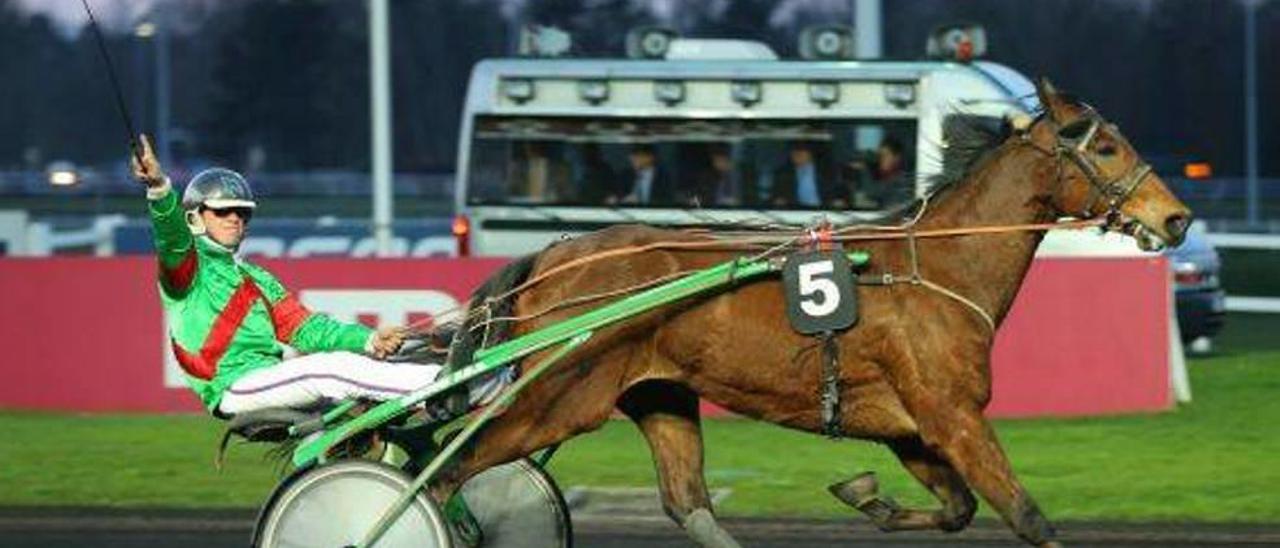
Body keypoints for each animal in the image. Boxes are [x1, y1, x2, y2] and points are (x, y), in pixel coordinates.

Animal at [427, 81, 1187, 548]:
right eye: (1106, 146)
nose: (1176, 218)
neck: (938, 267)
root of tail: (553, 256)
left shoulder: (911, 429)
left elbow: (956, 509)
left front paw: (865, 496)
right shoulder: (953, 415)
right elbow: (1026, 516)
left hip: (658, 396)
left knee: (688, 501)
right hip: (558, 399)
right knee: (445, 469)